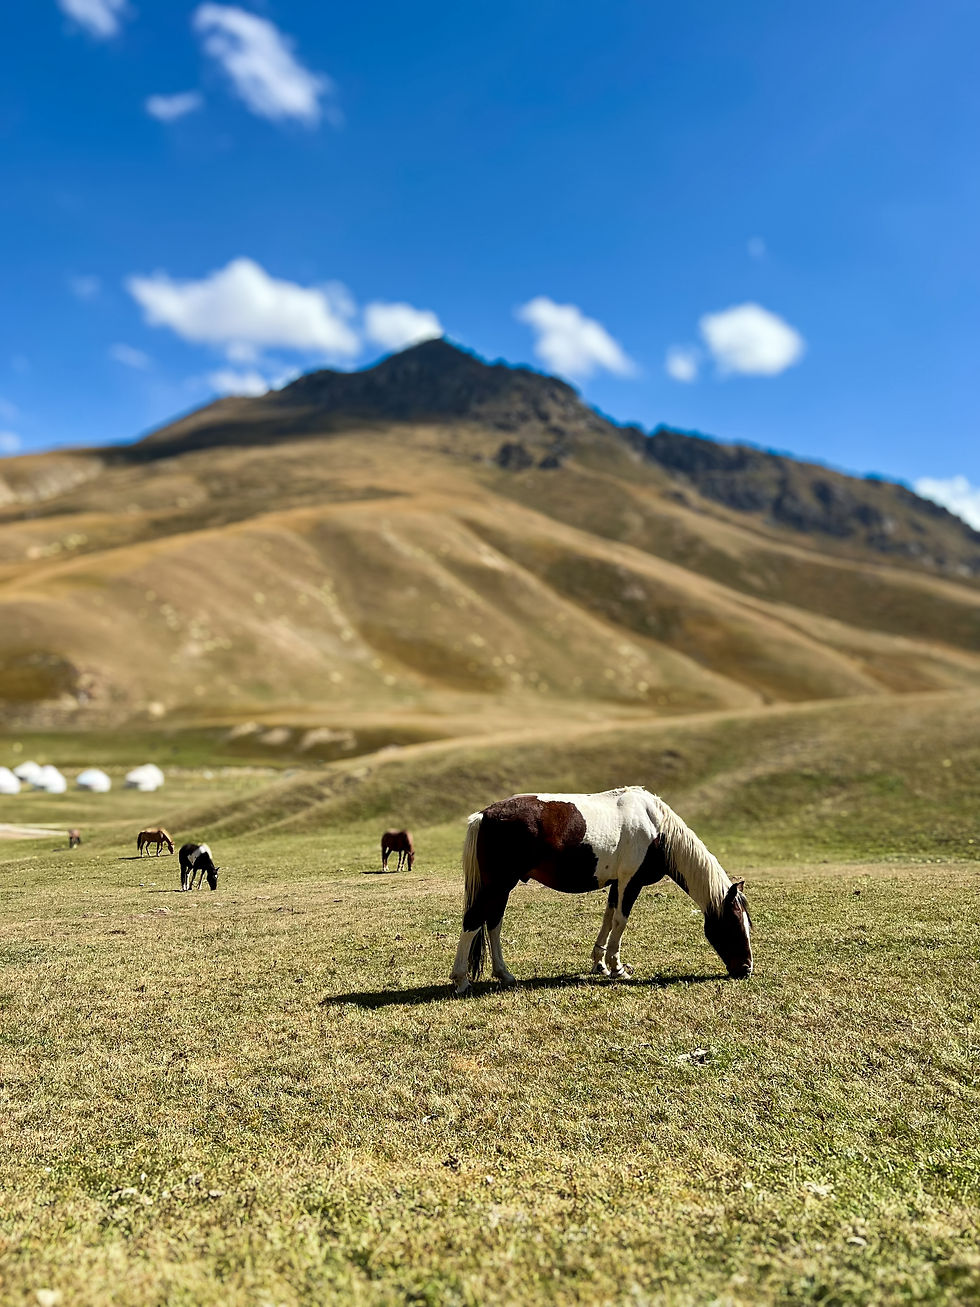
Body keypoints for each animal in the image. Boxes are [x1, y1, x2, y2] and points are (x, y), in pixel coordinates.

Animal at [450, 786, 752, 996]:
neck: (656, 828)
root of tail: (483, 815)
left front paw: (600, 964)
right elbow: (620, 921)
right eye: (734, 923)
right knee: (473, 921)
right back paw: (462, 980)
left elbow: (608, 919)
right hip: (497, 884)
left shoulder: (617, 884)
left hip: (501, 887)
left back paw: (504, 974)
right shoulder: (630, 883)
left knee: (493, 923)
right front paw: (617, 968)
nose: (746, 969)